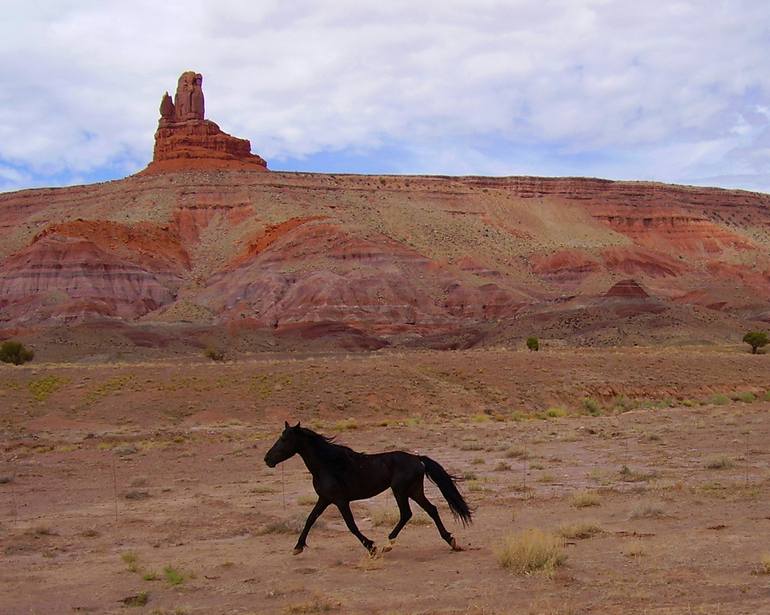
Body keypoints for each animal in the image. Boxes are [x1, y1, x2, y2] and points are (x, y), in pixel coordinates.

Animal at [262, 422, 468, 556]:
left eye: (284, 439)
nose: (267, 459)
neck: (328, 465)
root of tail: (418, 459)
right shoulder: (324, 499)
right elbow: (310, 519)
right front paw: (298, 547)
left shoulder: (340, 501)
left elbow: (351, 526)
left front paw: (371, 547)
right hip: (414, 491)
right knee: (431, 510)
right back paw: (451, 541)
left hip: (401, 491)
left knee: (406, 514)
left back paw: (387, 544)